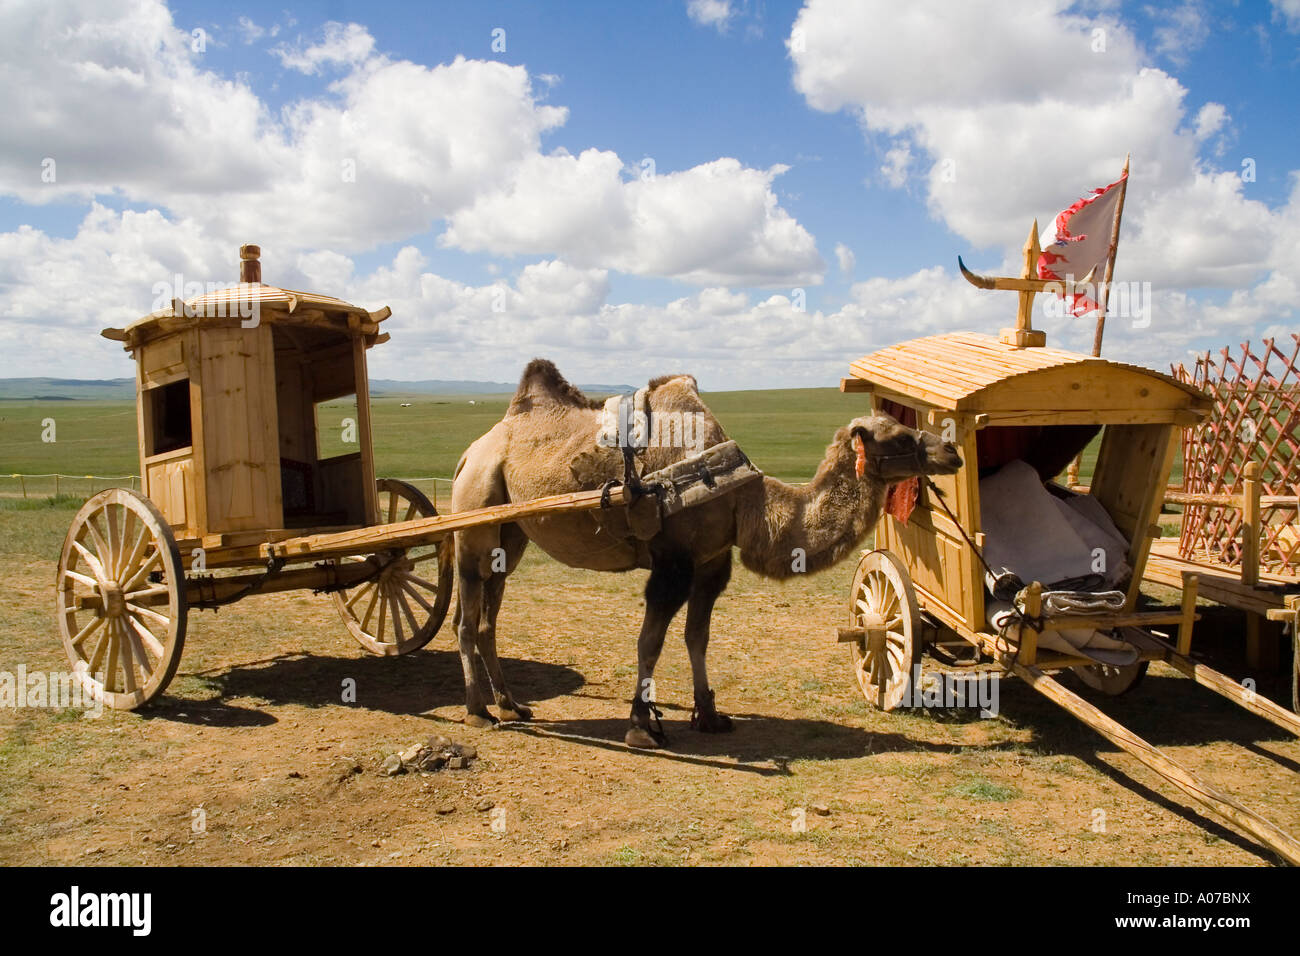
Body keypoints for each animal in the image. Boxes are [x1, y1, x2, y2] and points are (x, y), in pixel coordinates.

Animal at [450, 359, 962, 748]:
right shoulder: (671, 563)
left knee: (489, 611)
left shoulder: (712, 561)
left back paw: (510, 705)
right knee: (466, 613)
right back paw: (477, 711)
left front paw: (709, 714)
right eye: (899, 436)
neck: (742, 499)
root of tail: (471, 451)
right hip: (475, 511)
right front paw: (641, 726)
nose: (951, 451)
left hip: (510, 532)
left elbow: (697, 636)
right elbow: (650, 642)